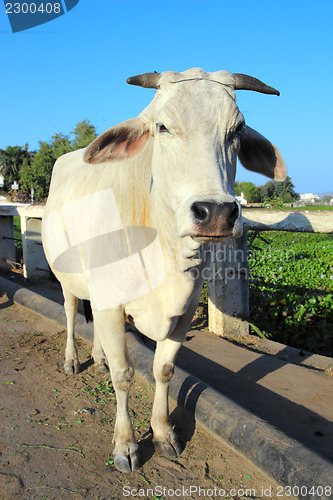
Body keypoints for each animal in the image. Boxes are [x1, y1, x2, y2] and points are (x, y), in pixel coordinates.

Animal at [41, 68, 286, 470]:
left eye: (236, 129)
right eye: (163, 127)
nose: (215, 212)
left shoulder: (182, 313)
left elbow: (163, 369)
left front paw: (162, 433)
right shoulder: (112, 306)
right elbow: (125, 375)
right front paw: (126, 444)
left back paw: (98, 357)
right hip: (67, 278)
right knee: (71, 311)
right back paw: (72, 360)